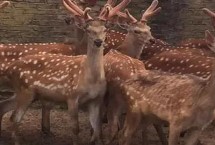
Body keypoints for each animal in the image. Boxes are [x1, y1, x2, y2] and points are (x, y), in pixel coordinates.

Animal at [3, 0, 130, 145]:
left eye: (105, 29)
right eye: (88, 30)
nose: (98, 41)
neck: (91, 80)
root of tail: (11, 68)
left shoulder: (96, 100)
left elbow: (96, 130)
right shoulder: (71, 96)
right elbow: (75, 129)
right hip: (25, 91)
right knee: (14, 118)